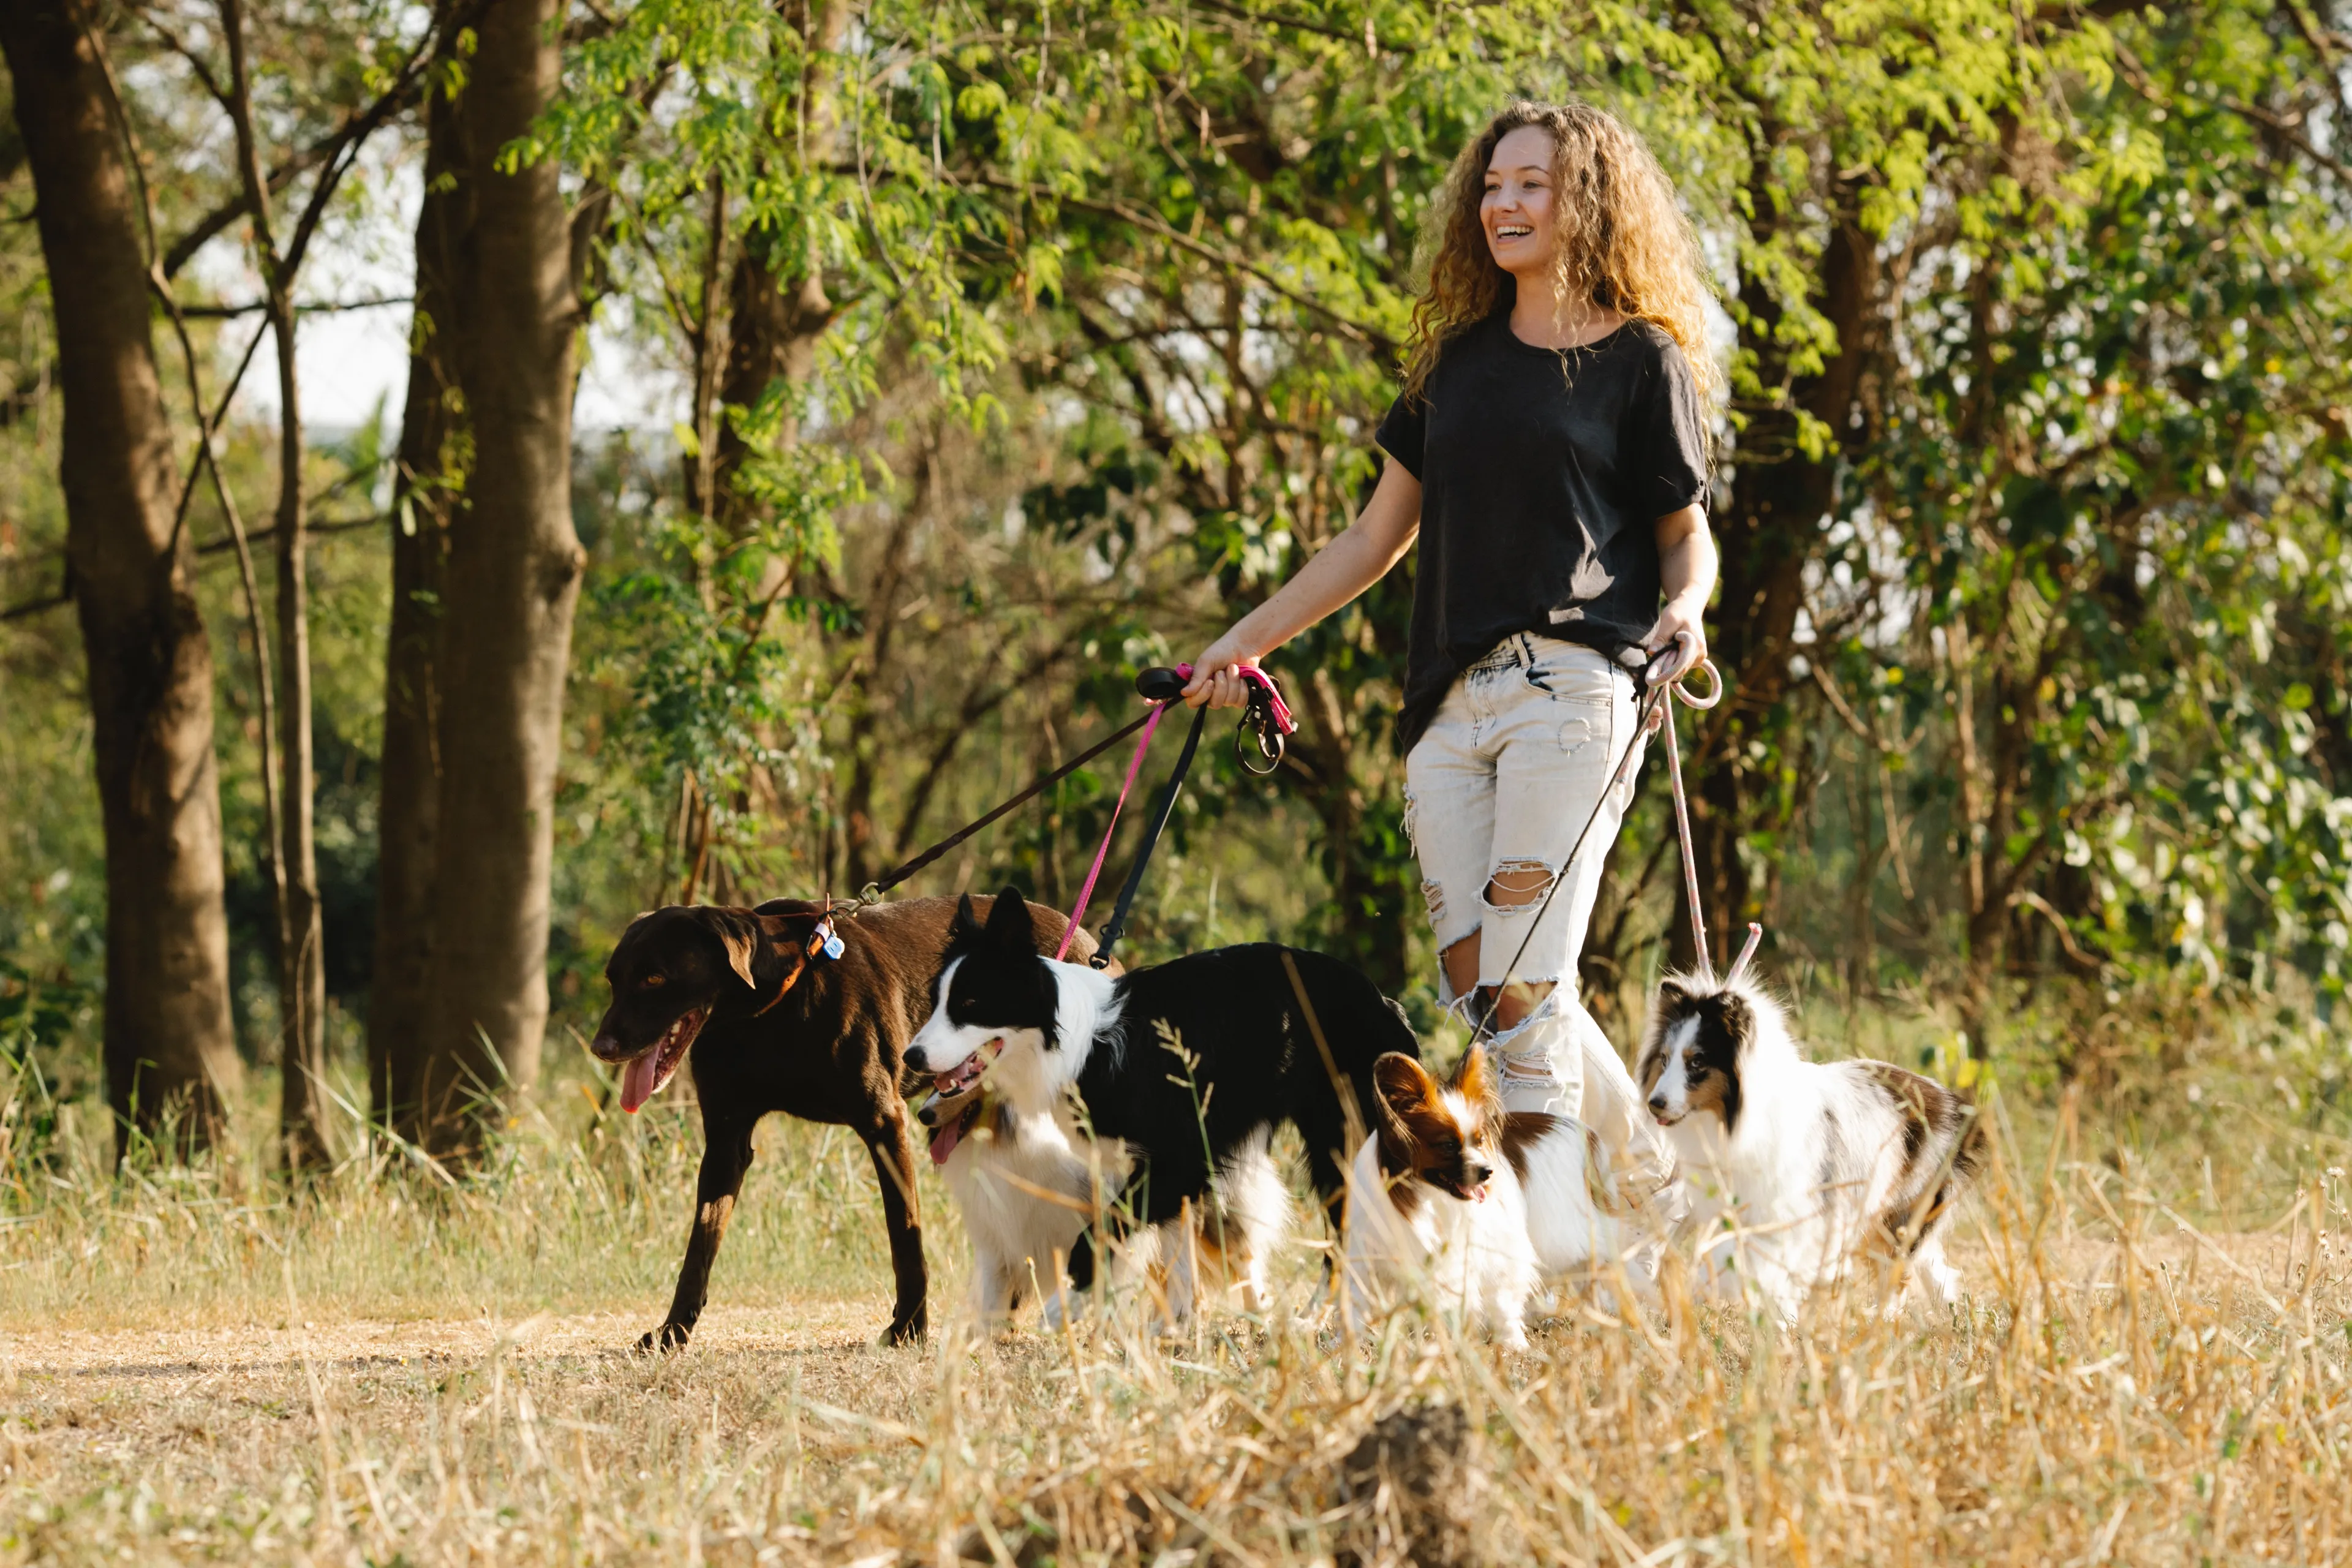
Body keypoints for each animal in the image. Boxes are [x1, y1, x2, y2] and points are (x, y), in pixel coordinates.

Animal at [597, 893, 1091, 1354]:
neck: (770, 1010)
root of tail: (1084, 937)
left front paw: (908, 1328)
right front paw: (673, 1331)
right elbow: (699, 1247)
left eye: (655, 977)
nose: (601, 1047)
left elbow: (905, 1236)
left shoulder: (884, 1122)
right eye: (613, 979)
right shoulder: (726, 1138)